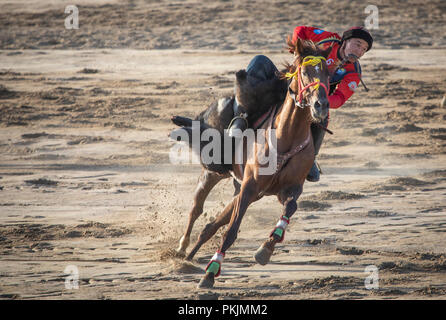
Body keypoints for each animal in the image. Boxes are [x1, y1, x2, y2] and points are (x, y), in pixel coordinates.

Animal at [171, 37, 332, 288]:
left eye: (328, 74)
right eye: (304, 72)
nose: (321, 105)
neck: (286, 138)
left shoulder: (287, 189)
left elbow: (290, 208)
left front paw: (266, 249)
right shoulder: (249, 187)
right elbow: (230, 231)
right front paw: (210, 273)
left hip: (244, 189)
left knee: (210, 226)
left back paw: (189, 257)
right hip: (213, 174)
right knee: (196, 208)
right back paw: (182, 248)